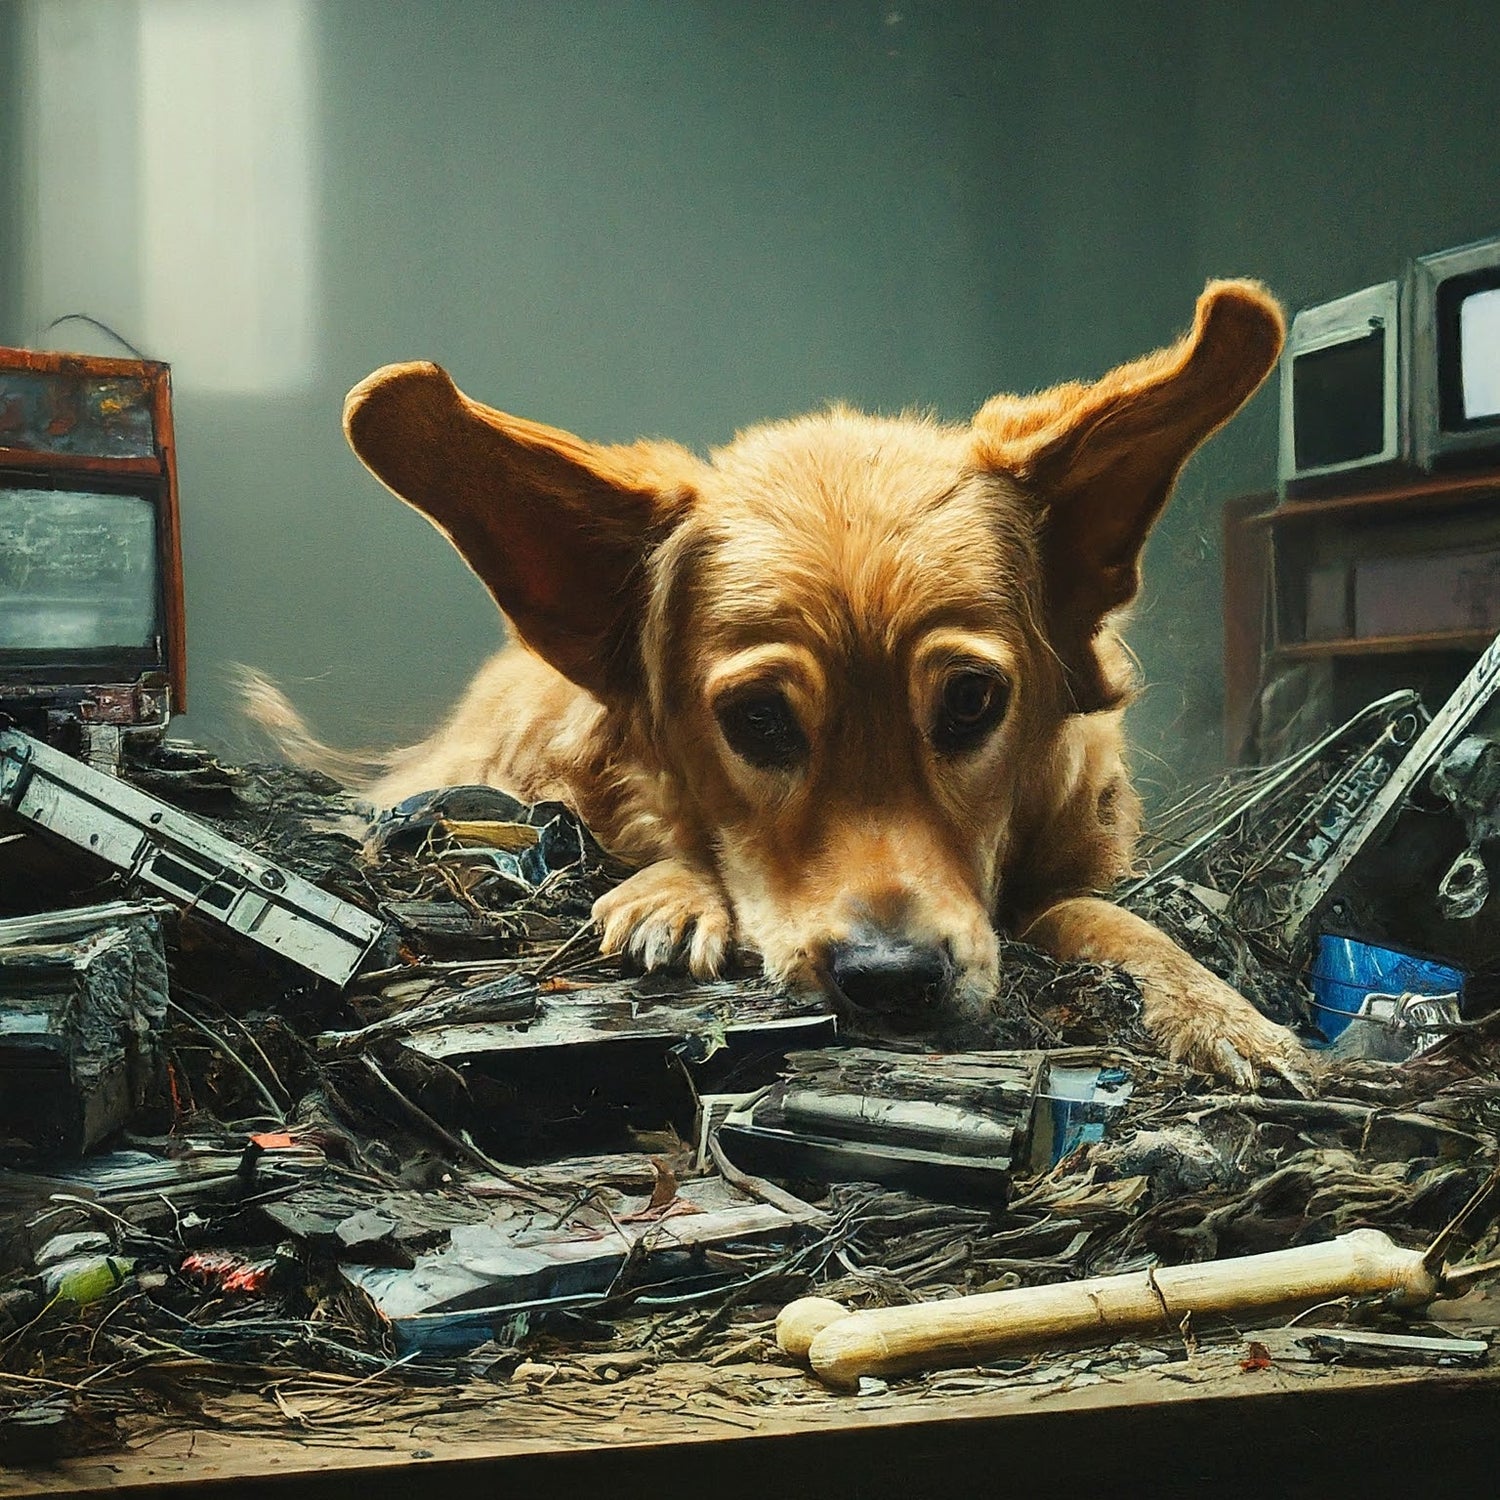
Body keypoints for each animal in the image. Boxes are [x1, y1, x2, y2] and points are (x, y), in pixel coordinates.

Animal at [286, 279, 1308, 1092]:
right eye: (758, 720)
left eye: (971, 701)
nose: (893, 982)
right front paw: (673, 893)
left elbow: (1109, 916)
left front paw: (1221, 1013)